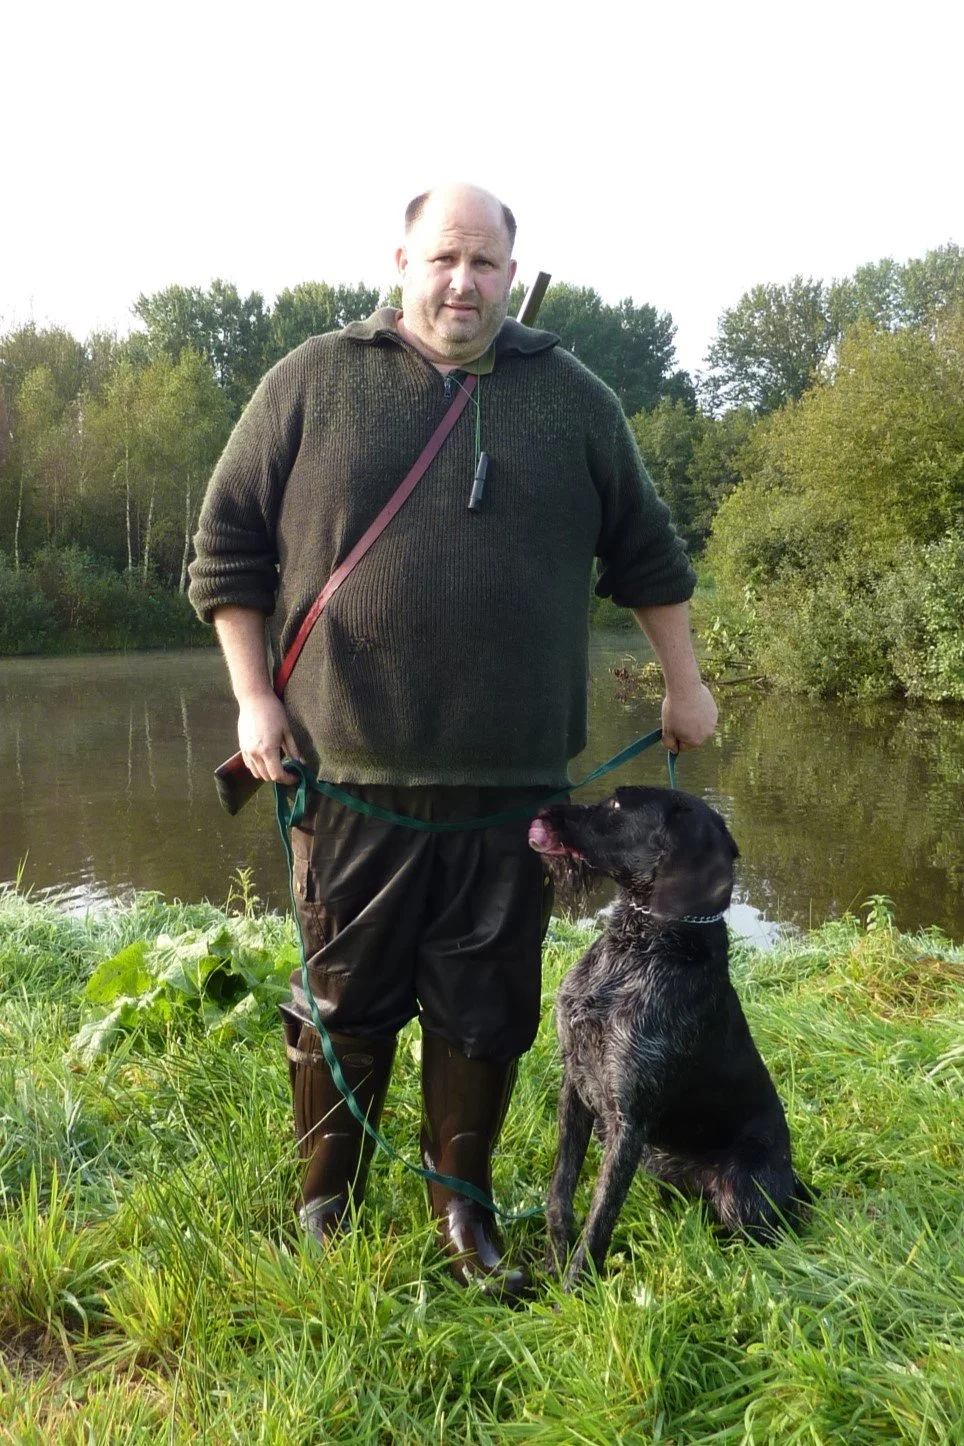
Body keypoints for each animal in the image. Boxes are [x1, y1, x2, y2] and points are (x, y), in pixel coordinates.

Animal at [528, 786, 810, 1289]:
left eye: (616, 806)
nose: (542, 809)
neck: (637, 945)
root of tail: (793, 1180)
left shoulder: (629, 1119)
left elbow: (600, 1218)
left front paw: (575, 1289)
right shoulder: (575, 1087)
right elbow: (560, 1193)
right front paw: (551, 1268)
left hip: (739, 1187)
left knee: (765, 1233)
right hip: (656, 1160)